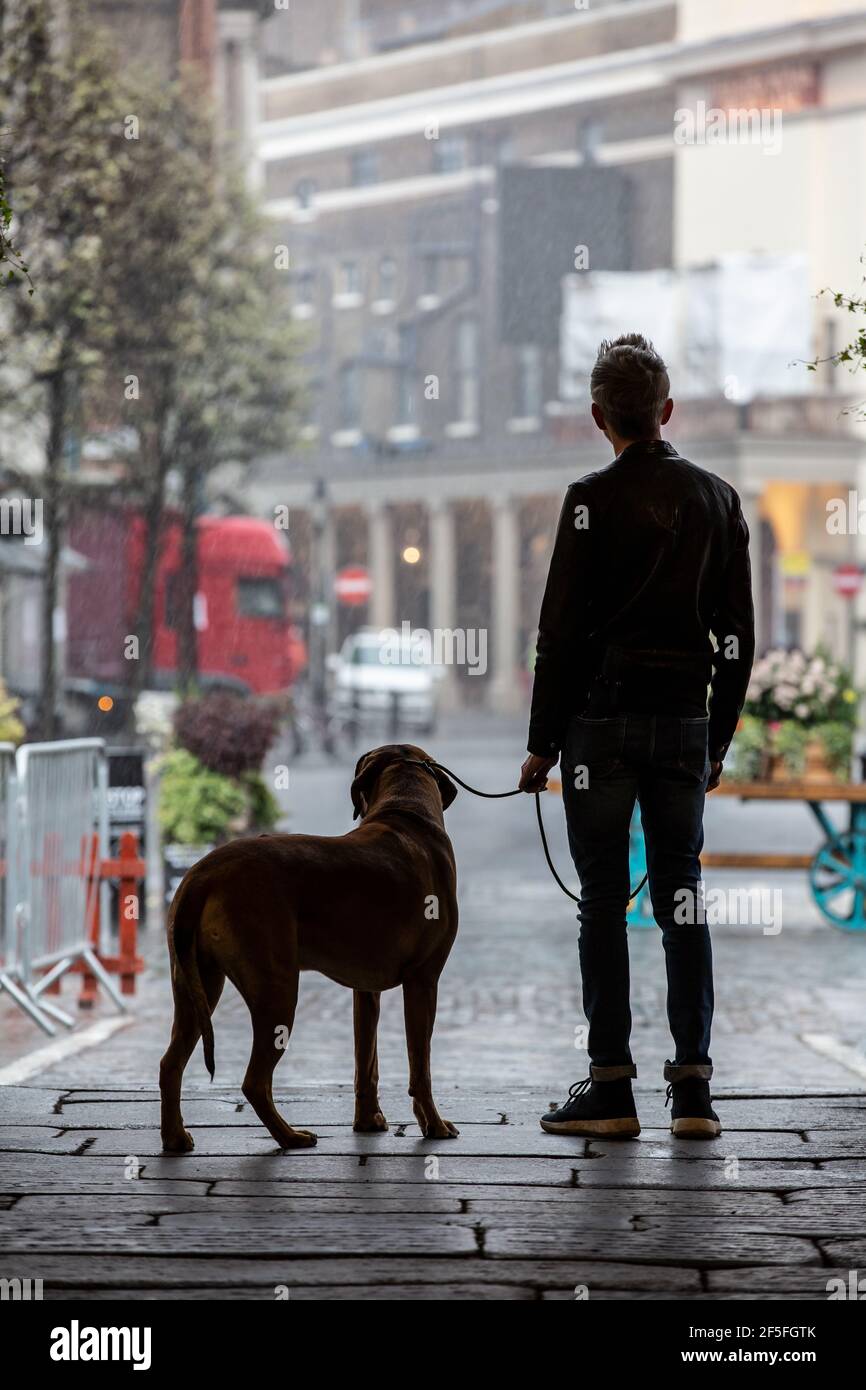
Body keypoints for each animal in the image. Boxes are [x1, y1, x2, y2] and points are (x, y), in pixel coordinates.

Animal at [161, 745, 461, 1156]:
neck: (406, 811)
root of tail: (203, 872)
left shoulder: (365, 990)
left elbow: (366, 1061)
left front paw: (368, 1122)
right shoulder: (423, 980)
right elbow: (421, 1066)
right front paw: (433, 1124)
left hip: (196, 981)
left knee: (171, 1063)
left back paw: (175, 1137)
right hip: (277, 988)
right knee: (254, 1080)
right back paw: (289, 1137)